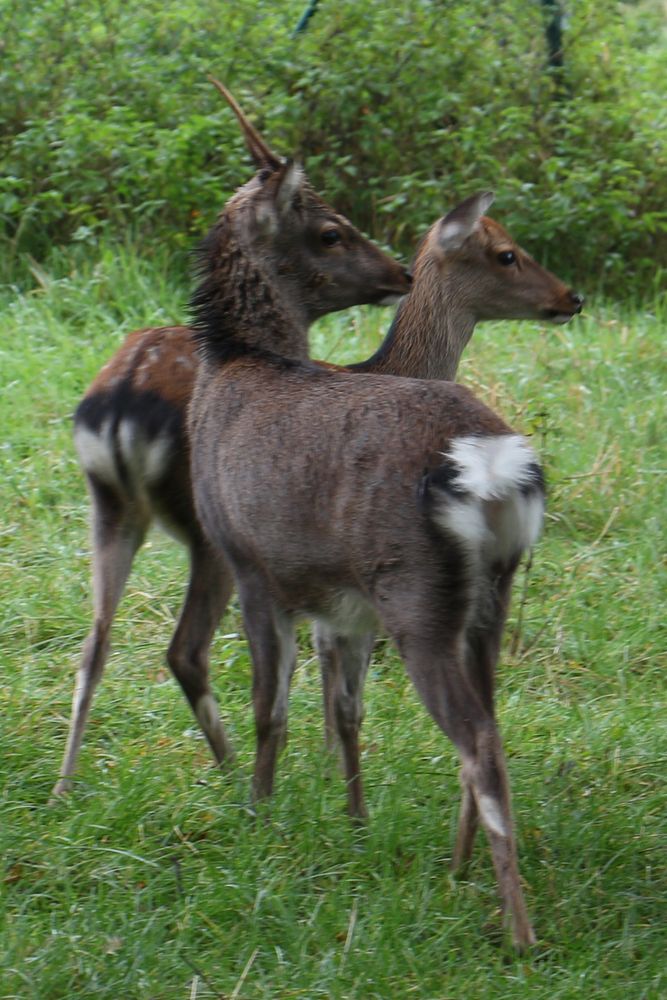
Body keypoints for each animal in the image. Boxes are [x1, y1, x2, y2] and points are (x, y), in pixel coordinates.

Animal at [52, 78, 580, 804]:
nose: (570, 296)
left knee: (92, 644)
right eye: (506, 253)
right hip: (212, 537)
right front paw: (332, 774)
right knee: (186, 649)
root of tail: (119, 394)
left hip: (110, 509)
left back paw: (65, 787)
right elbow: (330, 681)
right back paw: (228, 774)